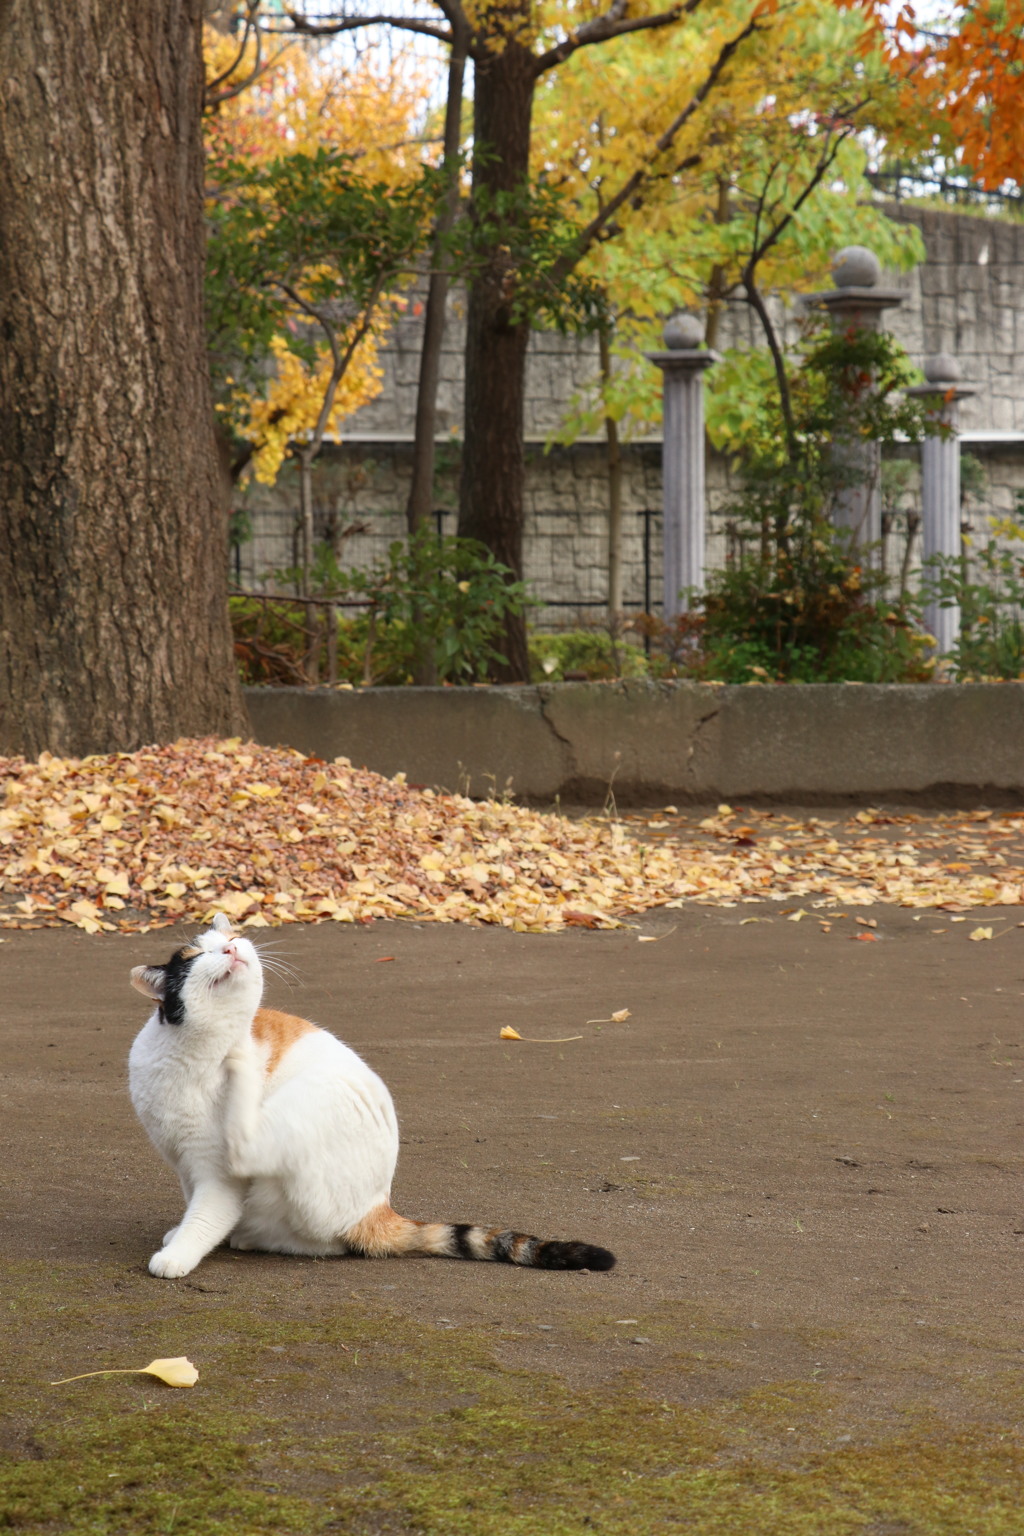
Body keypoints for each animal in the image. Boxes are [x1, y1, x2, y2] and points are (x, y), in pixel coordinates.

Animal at [124, 915, 614, 1277]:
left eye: (232, 938)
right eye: (197, 955)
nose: (231, 948)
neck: (195, 1053)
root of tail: (379, 1207)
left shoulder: (217, 1173)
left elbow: (207, 1214)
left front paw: (179, 1252)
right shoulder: (183, 1161)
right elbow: (194, 1204)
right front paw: (181, 1233)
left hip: (304, 1105)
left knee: (313, 1229)